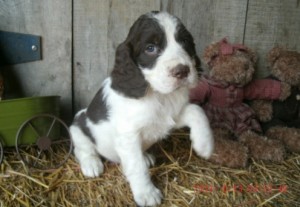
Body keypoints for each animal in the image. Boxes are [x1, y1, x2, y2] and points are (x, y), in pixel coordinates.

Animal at [69, 11, 213, 207]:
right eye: (150, 48)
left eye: (184, 42)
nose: (182, 71)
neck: (158, 95)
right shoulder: (128, 136)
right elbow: (137, 167)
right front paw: (147, 194)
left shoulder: (170, 116)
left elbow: (197, 110)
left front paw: (204, 145)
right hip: (79, 124)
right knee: (82, 148)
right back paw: (91, 164)